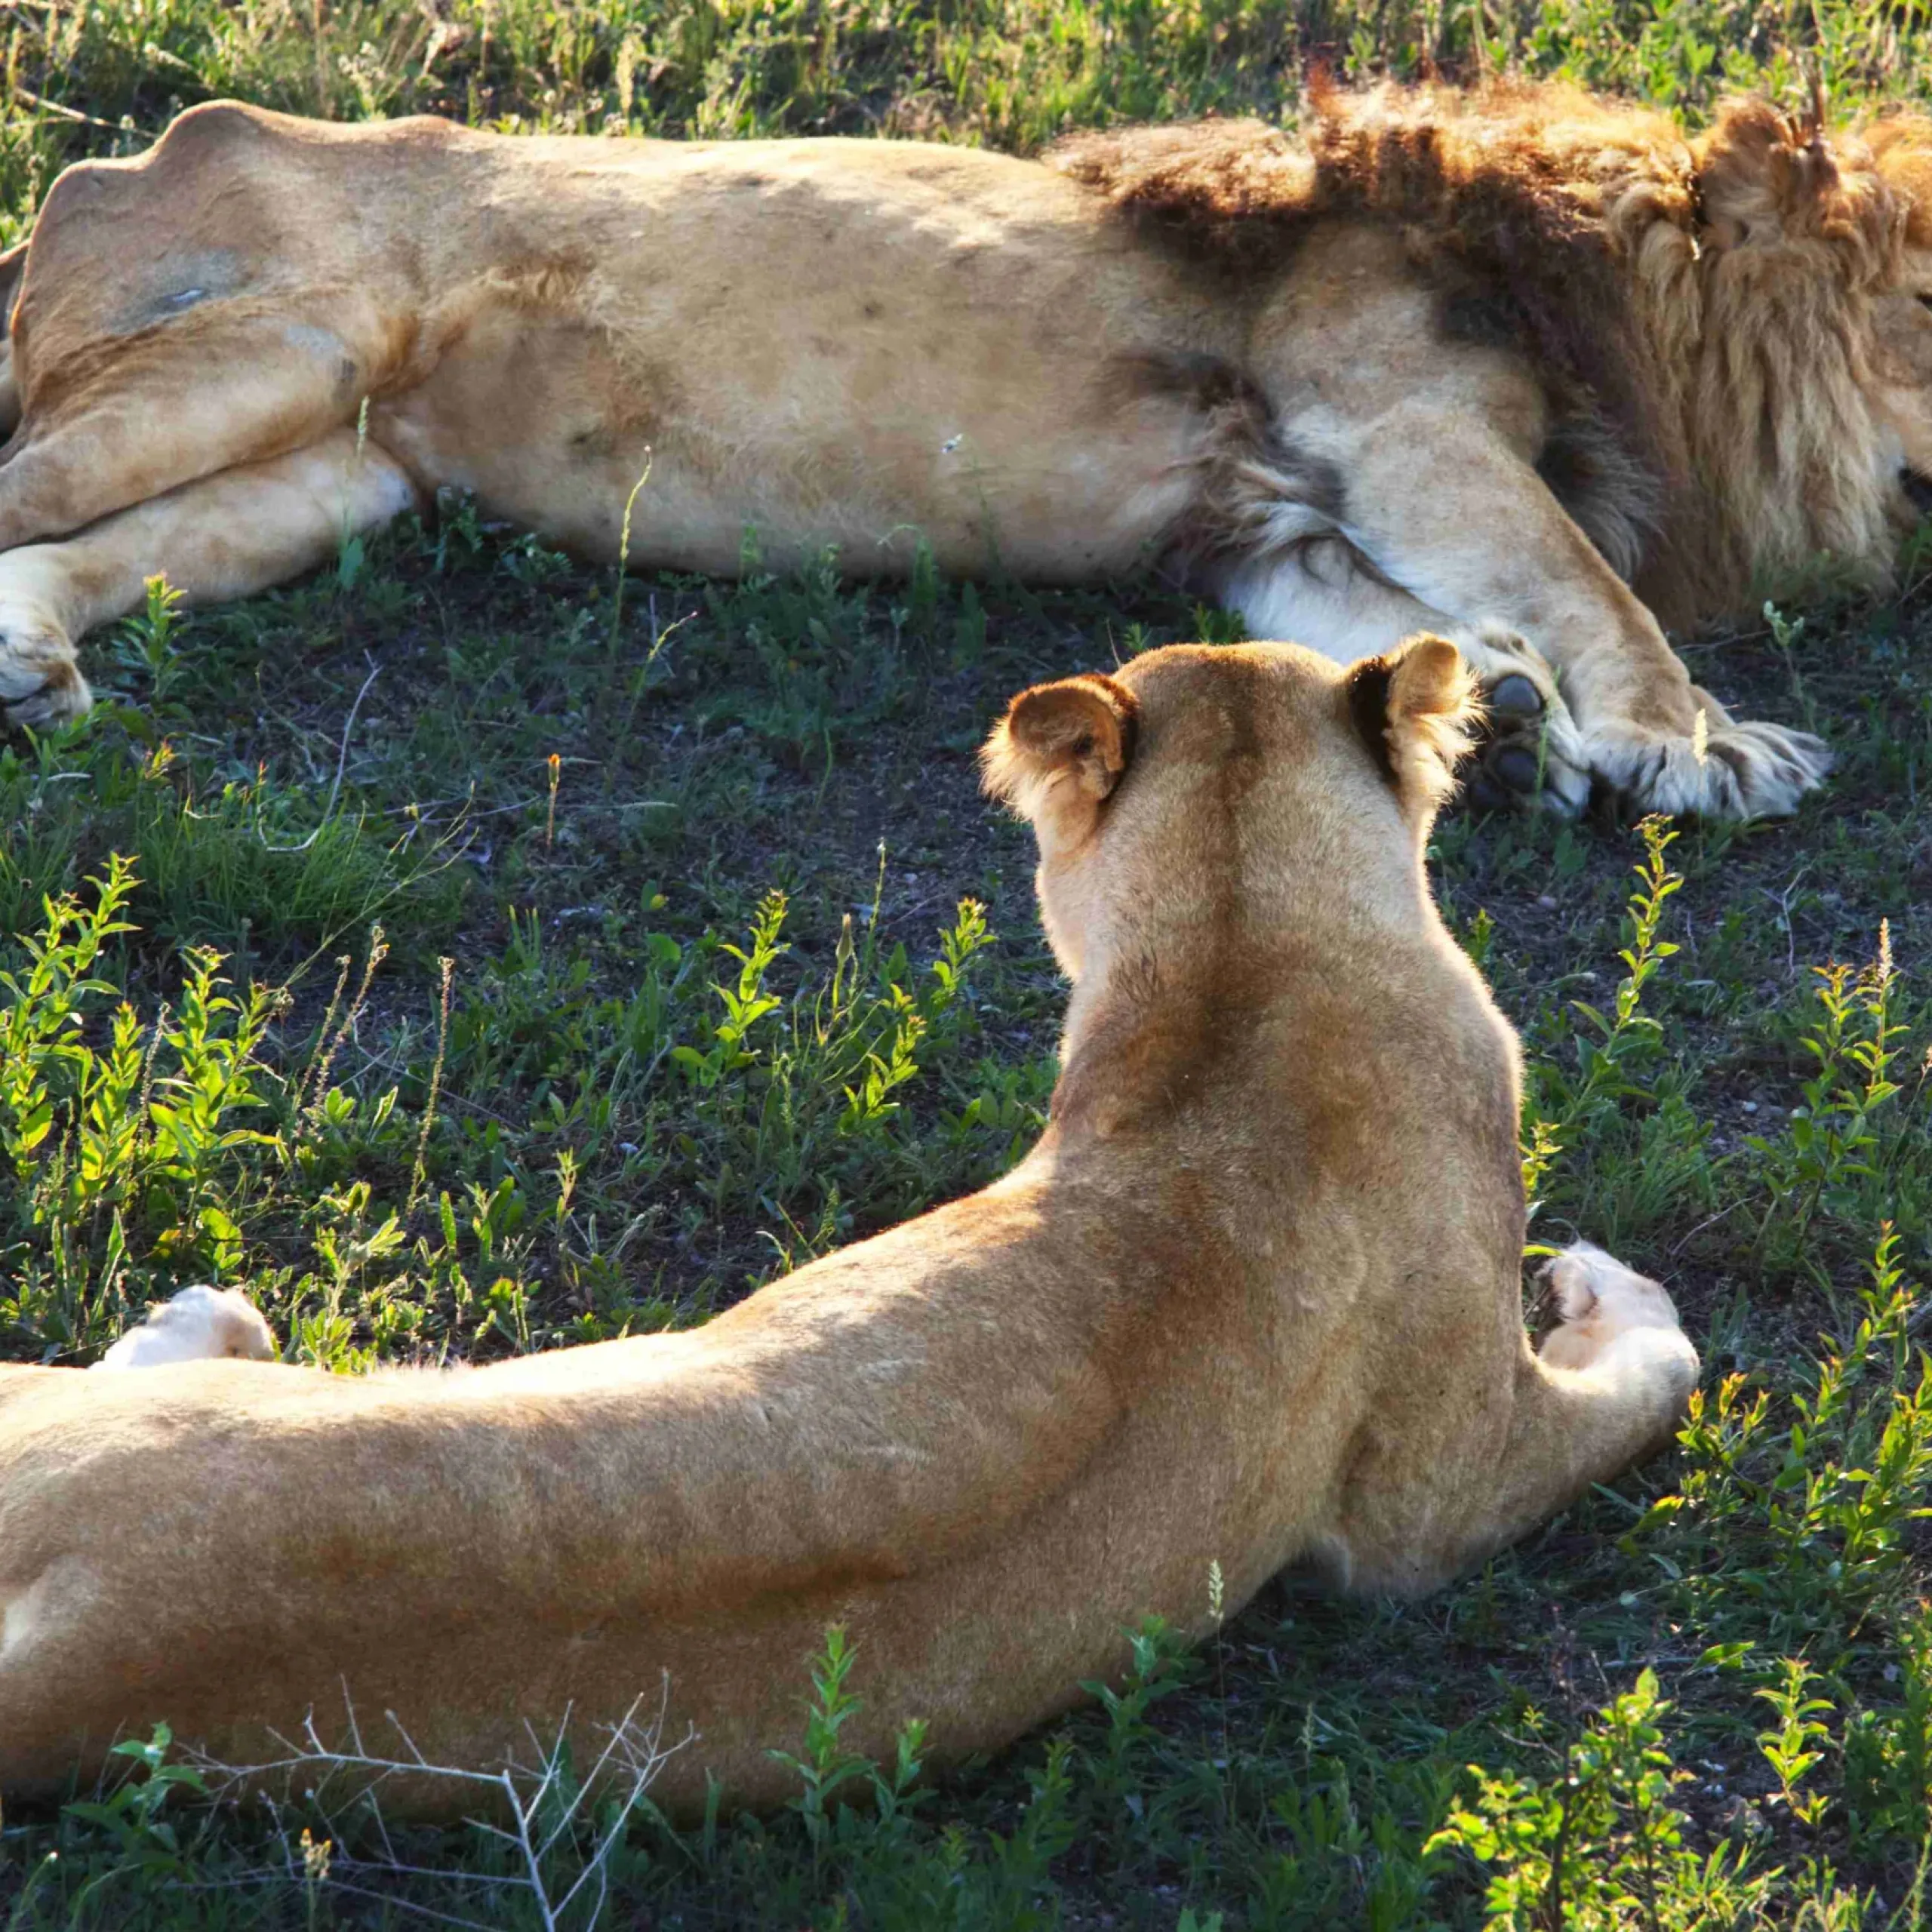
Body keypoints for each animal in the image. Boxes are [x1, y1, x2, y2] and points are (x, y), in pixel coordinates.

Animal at [0, 80, 1924, 818]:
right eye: (1923, 300)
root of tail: (106, 166)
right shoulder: (1391, 420)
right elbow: (1592, 580)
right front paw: (1695, 741)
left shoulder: (1266, 517)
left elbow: (1384, 614)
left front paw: (1499, 708)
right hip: (285, 339)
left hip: (342, 464)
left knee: (84, 551)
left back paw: (28, 662)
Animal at [0, 636, 1701, 1815]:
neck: (1249, 953)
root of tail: (83, 1651)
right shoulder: (1433, 1493)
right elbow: (1646, 1380)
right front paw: (1613, 1285)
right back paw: (204, 1314)